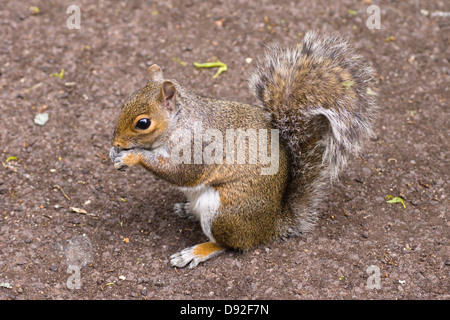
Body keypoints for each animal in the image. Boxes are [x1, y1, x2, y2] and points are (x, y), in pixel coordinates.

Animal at [109, 31, 376, 268]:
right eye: (125, 103)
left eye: (143, 123)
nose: (117, 143)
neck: (180, 122)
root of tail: (270, 226)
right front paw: (115, 153)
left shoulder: (199, 148)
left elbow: (181, 173)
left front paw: (132, 156)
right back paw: (187, 210)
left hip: (224, 212)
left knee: (230, 244)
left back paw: (197, 252)